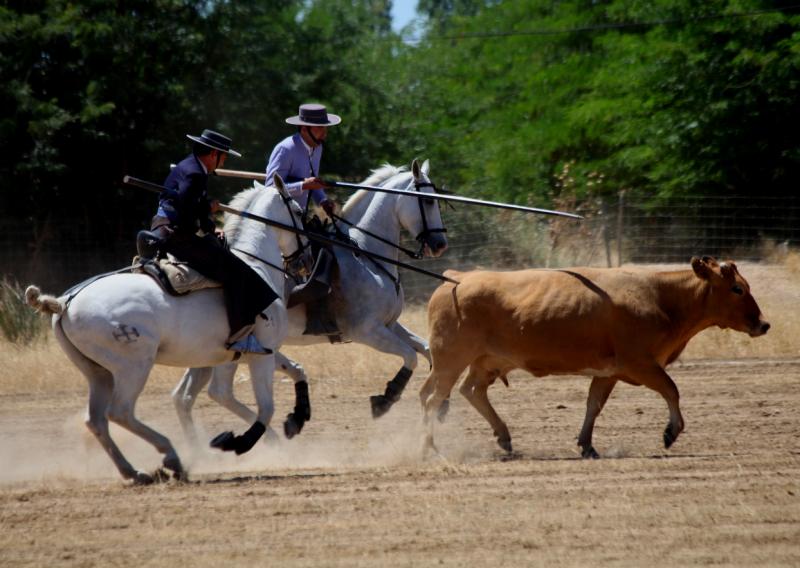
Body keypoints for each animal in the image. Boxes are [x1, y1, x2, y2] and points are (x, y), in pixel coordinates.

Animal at [25, 179, 304, 484]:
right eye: (299, 212)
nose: (303, 260)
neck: (256, 267)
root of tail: (64, 302)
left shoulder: (251, 352)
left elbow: (295, 371)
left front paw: (296, 419)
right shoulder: (260, 354)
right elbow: (263, 406)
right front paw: (238, 442)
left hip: (98, 373)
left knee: (97, 420)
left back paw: (134, 471)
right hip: (134, 367)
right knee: (120, 412)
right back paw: (171, 457)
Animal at [174, 158, 450, 442]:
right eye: (428, 201)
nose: (440, 244)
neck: (364, 255)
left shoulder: (390, 325)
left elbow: (427, 349)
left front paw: (441, 404)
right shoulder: (367, 331)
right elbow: (410, 356)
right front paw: (384, 400)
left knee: (184, 396)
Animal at [422, 258, 772, 458]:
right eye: (737, 288)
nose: (763, 324)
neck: (660, 296)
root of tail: (457, 278)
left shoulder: (609, 372)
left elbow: (594, 404)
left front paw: (587, 444)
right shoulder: (640, 363)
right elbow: (671, 390)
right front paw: (671, 431)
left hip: (484, 361)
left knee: (469, 391)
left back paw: (503, 436)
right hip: (451, 358)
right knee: (433, 399)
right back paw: (429, 447)